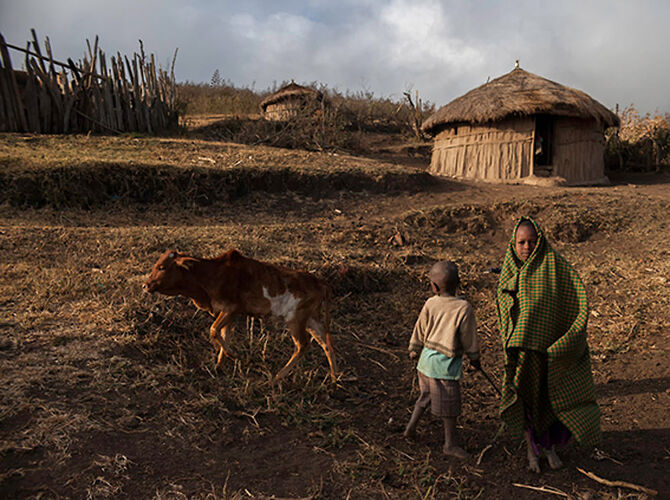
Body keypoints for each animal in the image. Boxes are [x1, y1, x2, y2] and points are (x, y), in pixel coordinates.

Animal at [144, 250, 338, 382]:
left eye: (162, 267)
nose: (146, 285)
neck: (210, 274)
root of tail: (322, 283)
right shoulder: (229, 314)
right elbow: (223, 335)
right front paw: (219, 365)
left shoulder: (230, 308)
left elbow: (213, 330)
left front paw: (235, 356)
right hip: (311, 320)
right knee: (326, 344)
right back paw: (335, 378)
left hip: (296, 320)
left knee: (303, 345)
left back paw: (277, 377)